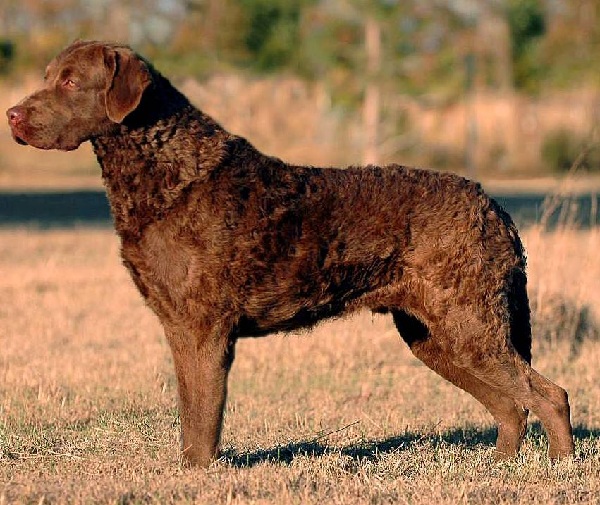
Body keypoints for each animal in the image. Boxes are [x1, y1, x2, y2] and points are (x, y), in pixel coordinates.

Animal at [5, 41, 576, 466]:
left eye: (70, 82)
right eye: (48, 76)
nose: (11, 114)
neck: (171, 173)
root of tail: (495, 207)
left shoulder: (203, 326)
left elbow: (203, 415)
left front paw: (197, 476)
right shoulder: (179, 326)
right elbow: (189, 412)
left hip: (468, 323)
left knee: (549, 395)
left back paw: (559, 468)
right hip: (434, 335)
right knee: (511, 405)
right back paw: (501, 466)